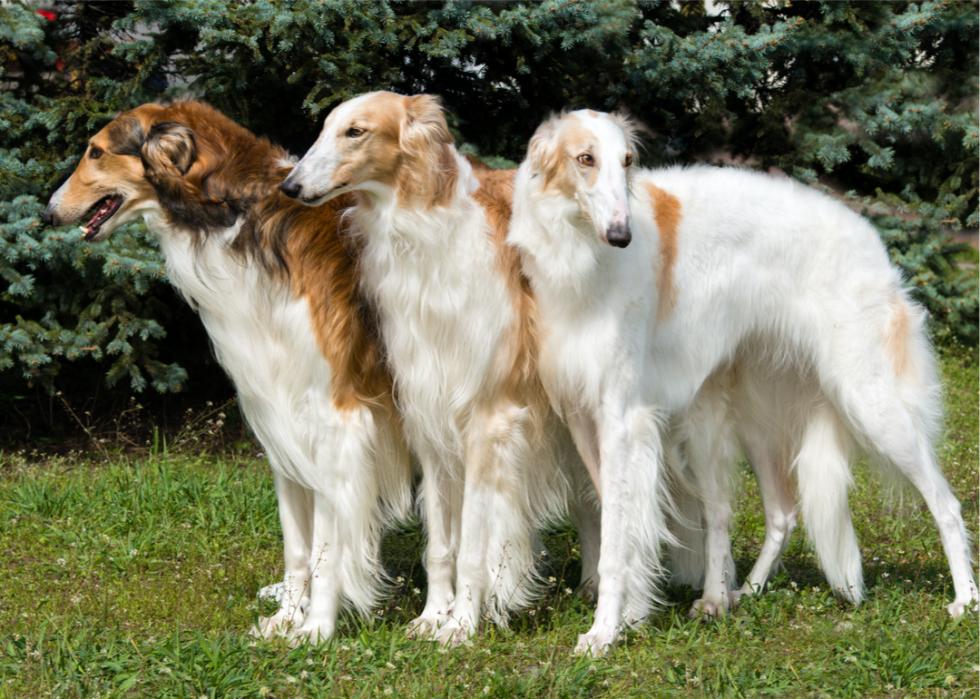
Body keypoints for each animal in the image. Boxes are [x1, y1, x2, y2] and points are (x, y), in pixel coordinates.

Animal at [43, 101, 414, 644]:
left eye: (96, 151)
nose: (48, 213)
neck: (243, 219)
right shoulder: (280, 415)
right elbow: (297, 545)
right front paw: (287, 617)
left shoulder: (337, 420)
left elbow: (327, 547)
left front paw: (316, 629)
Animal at [278, 93, 596, 644]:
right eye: (325, 126)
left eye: (356, 131)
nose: (291, 186)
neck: (428, 234)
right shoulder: (429, 419)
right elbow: (441, 544)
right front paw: (433, 615)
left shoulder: (488, 419)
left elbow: (472, 547)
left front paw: (462, 624)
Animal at [510, 109, 976, 656]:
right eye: (585, 158)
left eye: (626, 161)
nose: (621, 235)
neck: (582, 253)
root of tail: (873, 243)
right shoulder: (584, 417)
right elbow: (621, 528)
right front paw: (632, 614)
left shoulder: (623, 418)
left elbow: (618, 540)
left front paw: (604, 631)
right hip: (755, 418)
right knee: (779, 513)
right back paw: (738, 593)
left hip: (871, 401)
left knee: (946, 503)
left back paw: (965, 599)